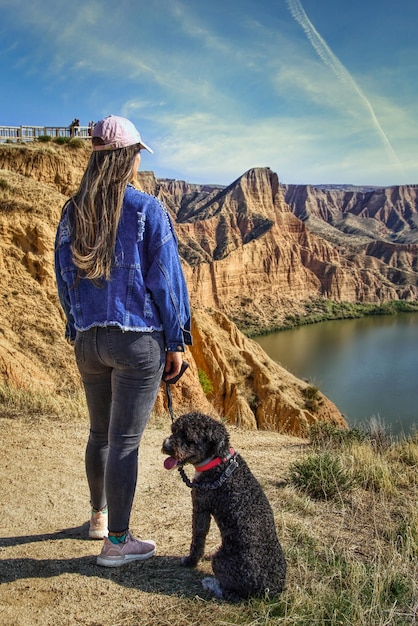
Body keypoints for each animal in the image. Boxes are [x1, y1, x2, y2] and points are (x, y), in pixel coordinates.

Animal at [162, 410, 286, 600]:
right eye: (174, 430)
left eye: (189, 438)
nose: (166, 446)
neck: (219, 463)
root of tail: (269, 590)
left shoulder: (200, 507)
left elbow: (197, 540)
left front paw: (190, 561)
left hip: (221, 561)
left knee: (228, 593)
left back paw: (210, 583)